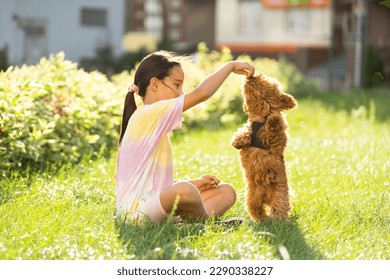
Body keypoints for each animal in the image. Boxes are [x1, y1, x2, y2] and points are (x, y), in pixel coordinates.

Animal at [230, 73, 298, 222]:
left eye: (265, 82)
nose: (252, 76)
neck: (261, 118)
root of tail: (266, 197)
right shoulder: (250, 127)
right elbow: (244, 131)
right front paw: (238, 140)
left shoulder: (277, 140)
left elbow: (274, 128)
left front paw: (273, 119)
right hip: (252, 197)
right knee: (257, 209)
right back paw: (262, 220)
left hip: (279, 195)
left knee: (280, 209)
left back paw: (279, 221)